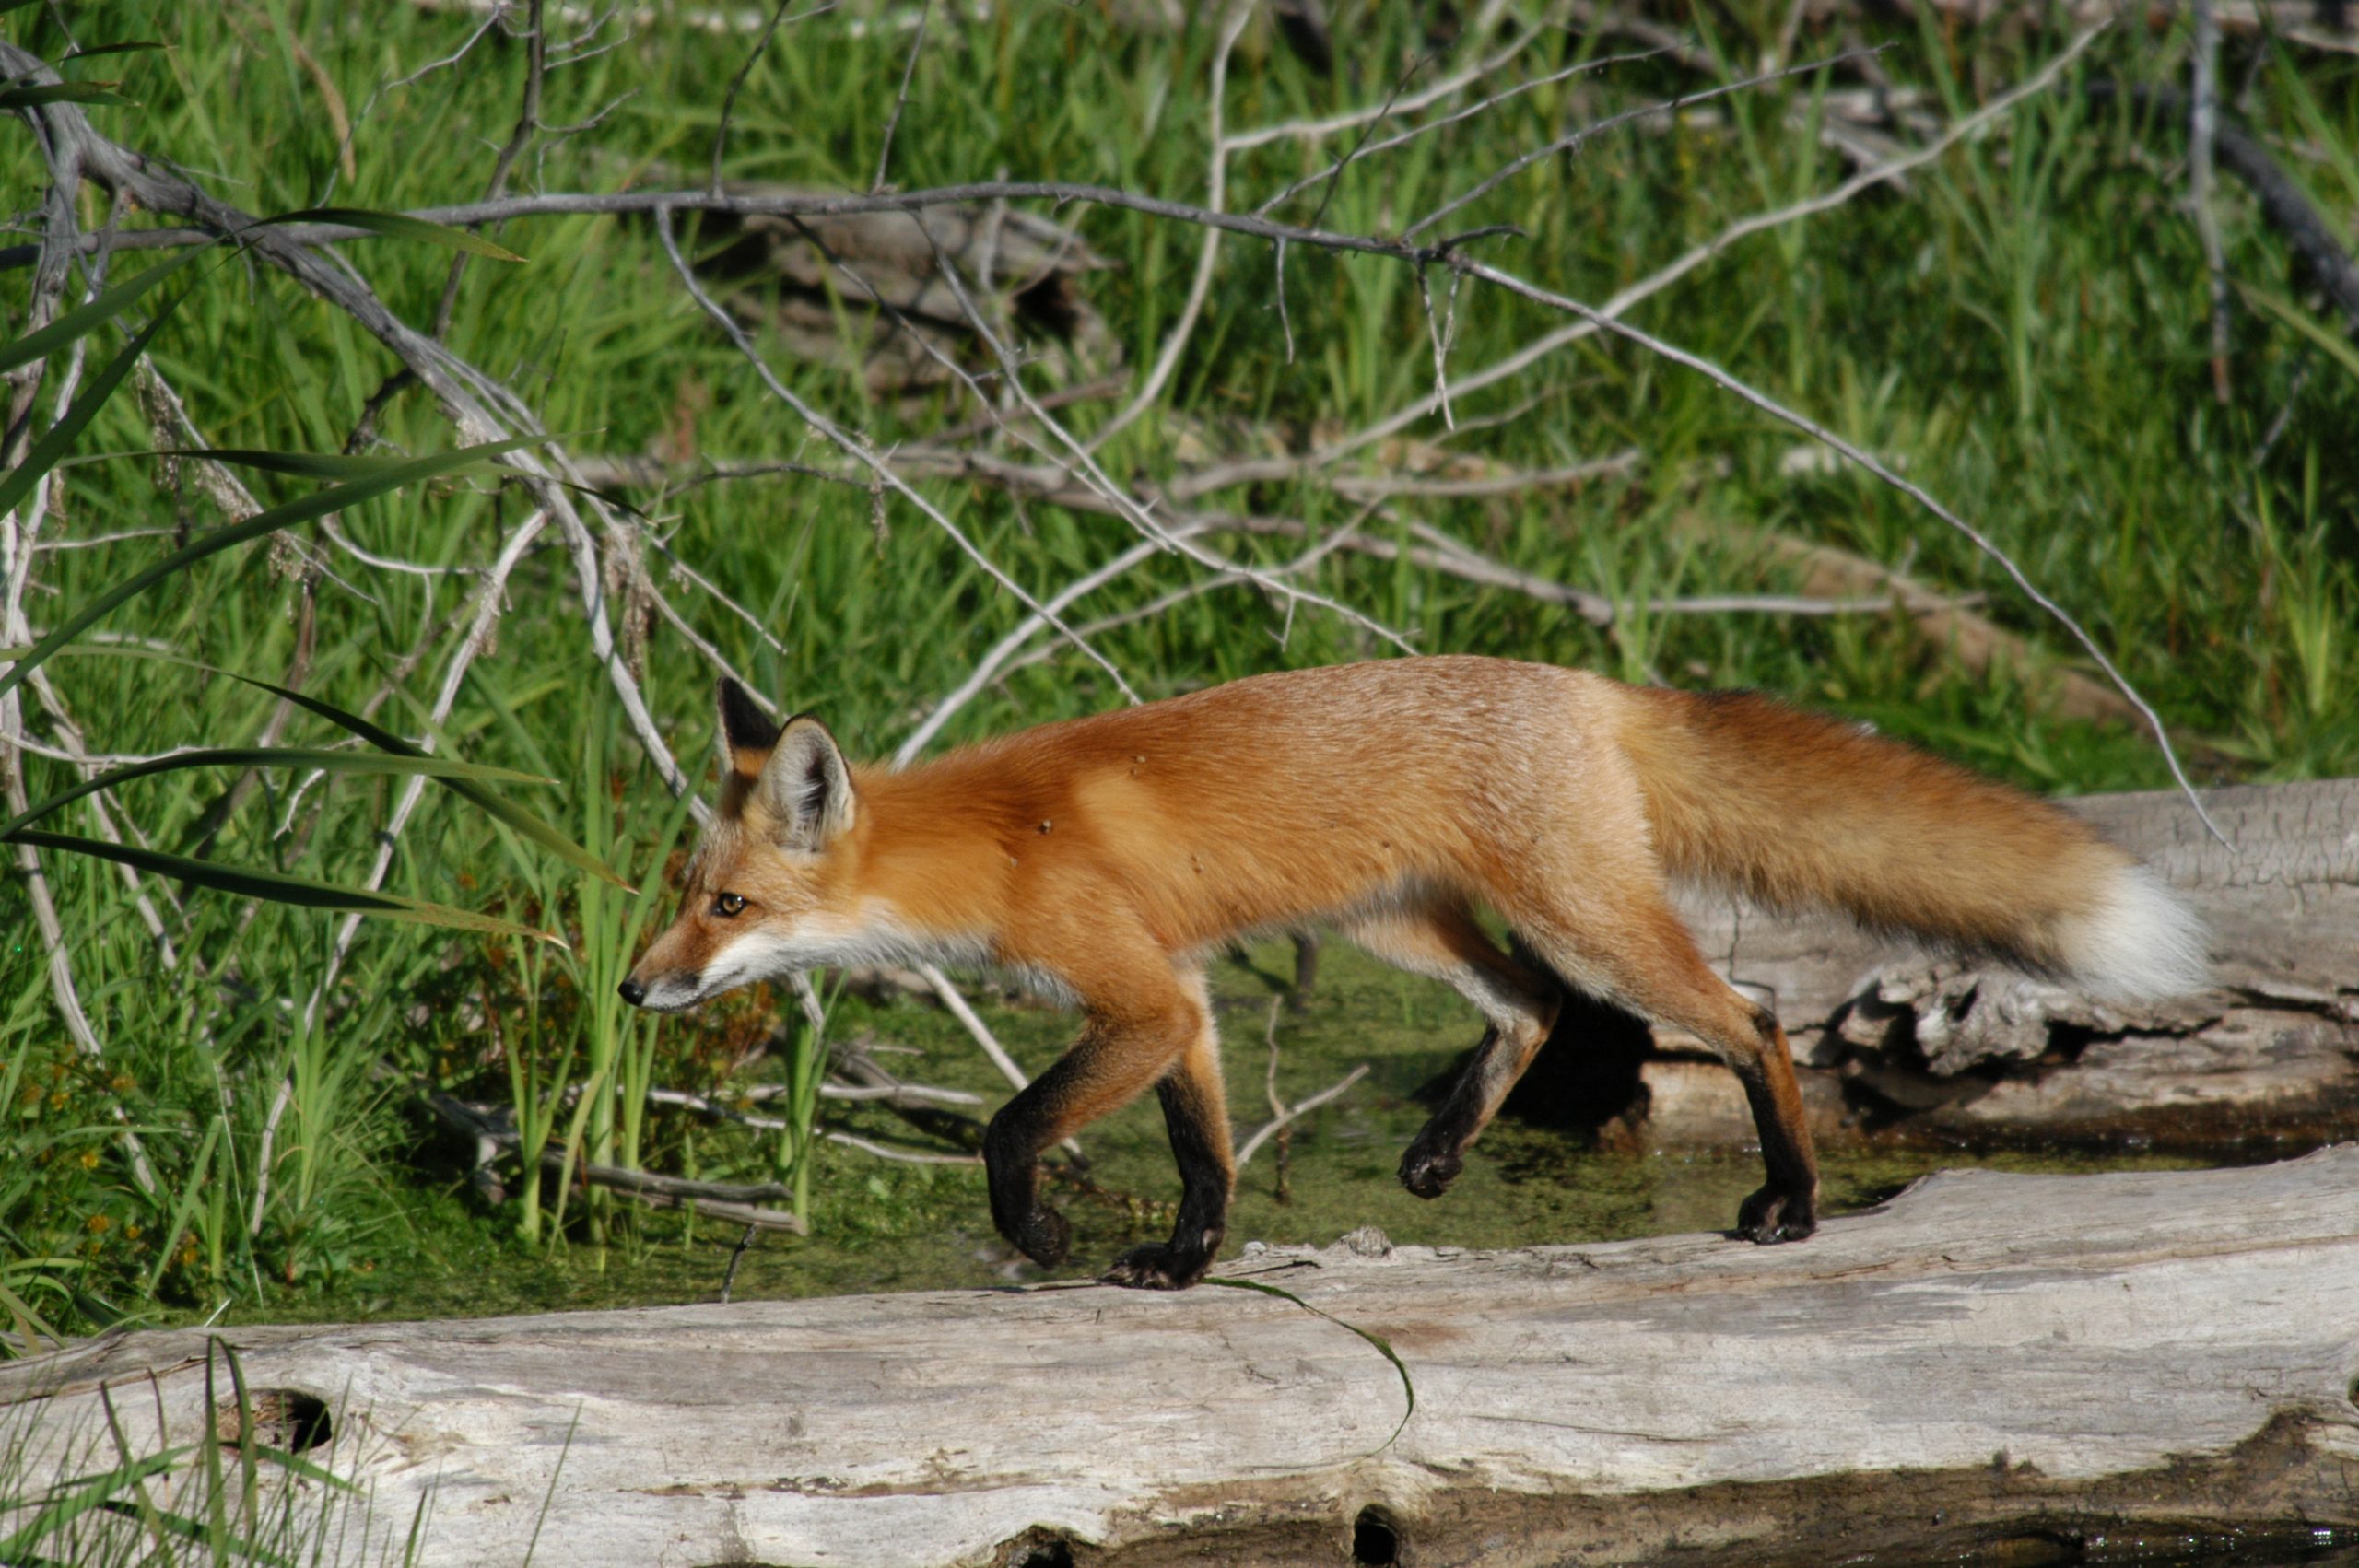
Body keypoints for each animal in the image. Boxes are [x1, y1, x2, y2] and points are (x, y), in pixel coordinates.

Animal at [617, 655, 2198, 1282]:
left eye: (729, 904)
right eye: (680, 897)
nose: (634, 991)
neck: (1005, 838)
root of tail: (1588, 685)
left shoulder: (1135, 992)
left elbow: (1010, 1126)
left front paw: (1044, 1234)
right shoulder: (1182, 1002)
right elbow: (1207, 1153)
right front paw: (1185, 1262)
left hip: (1585, 918)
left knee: (1746, 1017)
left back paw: (1793, 1203)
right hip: (1417, 926)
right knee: (1532, 1009)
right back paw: (1441, 1151)